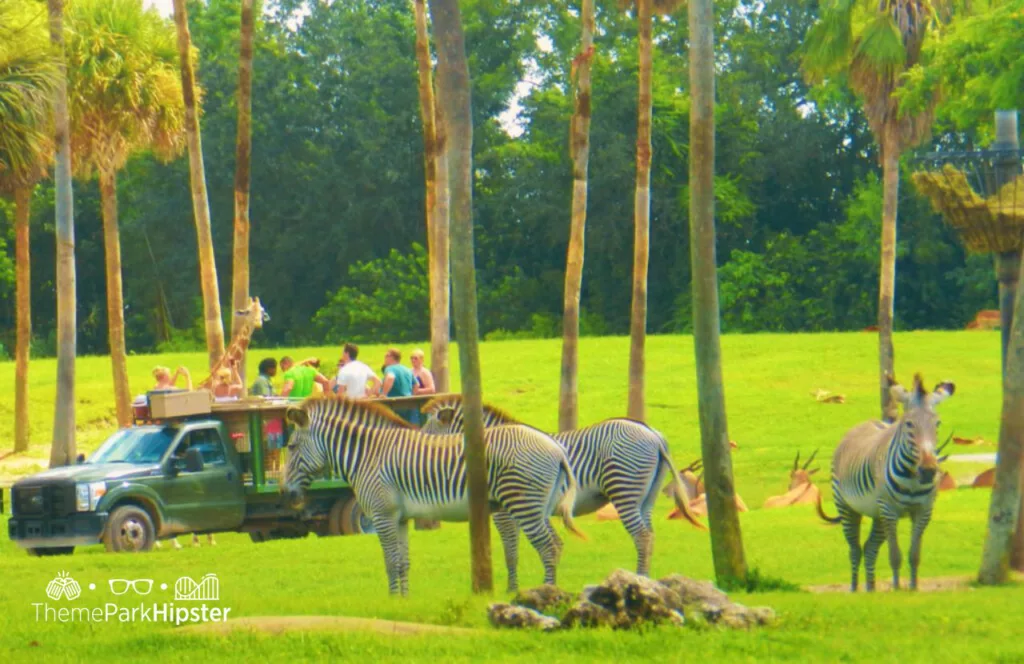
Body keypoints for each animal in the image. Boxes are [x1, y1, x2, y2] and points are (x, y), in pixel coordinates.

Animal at [280, 393, 585, 598]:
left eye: (292, 447)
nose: (284, 493)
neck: (369, 454)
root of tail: (556, 449)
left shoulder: (381, 515)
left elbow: (390, 561)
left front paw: (392, 599)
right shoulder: (400, 518)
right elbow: (402, 561)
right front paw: (405, 600)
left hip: (523, 504)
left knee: (548, 546)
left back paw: (546, 593)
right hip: (537, 506)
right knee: (556, 544)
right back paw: (551, 592)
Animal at [419, 393, 708, 586]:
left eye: (428, 433)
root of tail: (653, 434)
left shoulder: (504, 513)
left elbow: (510, 551)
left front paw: (513, 590)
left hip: (624, 490)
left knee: (642, 536)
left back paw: (639, 579)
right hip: (645, 497)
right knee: (649, 534)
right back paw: (645, 580)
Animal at [815, 372, 950, 590]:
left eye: (937, 424)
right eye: (908, 424)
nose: (929, 471)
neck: (912, 480)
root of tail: (865, 423)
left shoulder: (923, 511)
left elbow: (914, 556)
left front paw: (913, 588)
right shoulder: (889, 510)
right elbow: (895, 556)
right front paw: (896, 589)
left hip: (877, 514)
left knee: (869, 548)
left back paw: (871, 589)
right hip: (848, 507)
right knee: (855, 550)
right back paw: (855, 589)